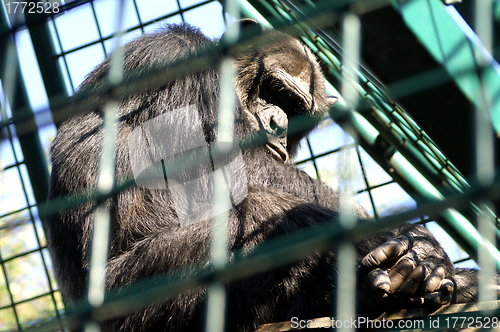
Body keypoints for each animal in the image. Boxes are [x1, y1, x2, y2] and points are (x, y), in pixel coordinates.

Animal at [46, 20, 480, 332]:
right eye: (274, 90)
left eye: (298, 109)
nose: (280, 124)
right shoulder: (176, 62)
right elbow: (237, 169)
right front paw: (416, 243)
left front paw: (420, 249)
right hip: (137, 301)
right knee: (263, 215)